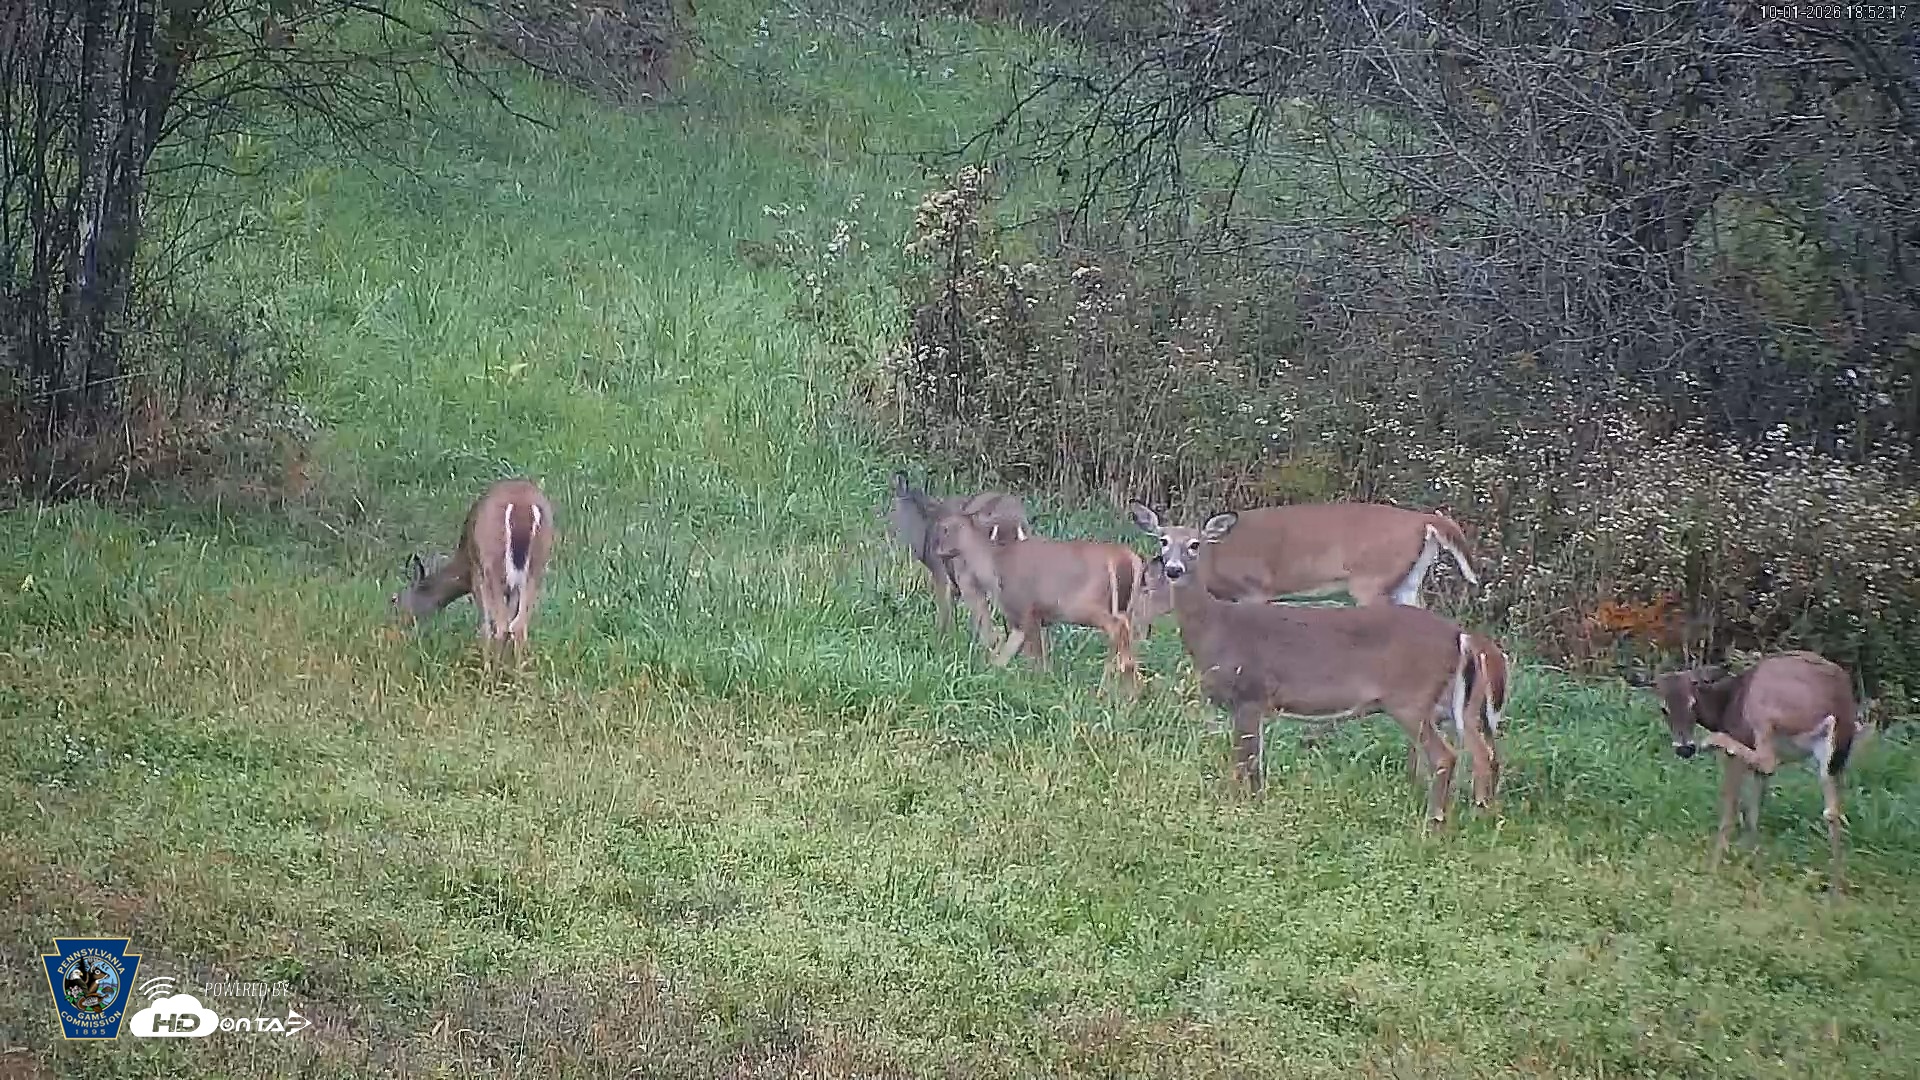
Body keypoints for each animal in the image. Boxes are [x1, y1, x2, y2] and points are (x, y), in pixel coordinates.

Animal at [390, 477, 556, 668]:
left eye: (395, 600)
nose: (398, 626)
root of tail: (522, 508)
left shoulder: (477, 575)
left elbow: (486, 625)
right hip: (536, 568)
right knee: (518, 625)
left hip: (493, 565)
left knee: (502, 626)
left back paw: (492, 672)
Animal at [885, 470, 1030, 640]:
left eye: (893, 506)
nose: (886, 524)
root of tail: (1011, 521)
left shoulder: (940, 571)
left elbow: (944, 610)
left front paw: (940, 639)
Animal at [927, 509, 1145, 696]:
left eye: (945, 527)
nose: (937, 550)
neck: (993, 568)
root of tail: (1127, 559)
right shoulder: (1023, 618)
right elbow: (1004, 657)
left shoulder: (1026, 609)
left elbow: (1036, 659)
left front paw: (1037, 686)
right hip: (1126, 609)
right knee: (1127, 643)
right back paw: (1127, 694)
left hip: (1083, 605)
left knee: (1116, 628)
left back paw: (1107, 691)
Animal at [1128, 503, 1499, 823]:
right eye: (1163, 540)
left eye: (1194, 544)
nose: (1173, 569)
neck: (1217, 627)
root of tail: (1459, 636)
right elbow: (1252, 763)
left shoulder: (1250, 693)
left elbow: (1243, 762)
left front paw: (1239, 807)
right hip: (1444, 693)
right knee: (1478, 743)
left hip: (1409, 695)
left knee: (1447, 755)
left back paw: (1434, 821)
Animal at [1629, 650, 1861, 894]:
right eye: (1663, 709)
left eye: (1693, 704)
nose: (1685, 748)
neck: (1724, 706)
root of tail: (1840, 703)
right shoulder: (1759, 773)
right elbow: (1753, 813)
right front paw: (1754, 865)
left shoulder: (1738, 752)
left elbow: (1731, 807)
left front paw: (1713, 868)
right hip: (1832, 757)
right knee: (1832, 811)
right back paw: (1836, 889)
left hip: (1763, 709)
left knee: (1769, 760)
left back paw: (1713, 740)